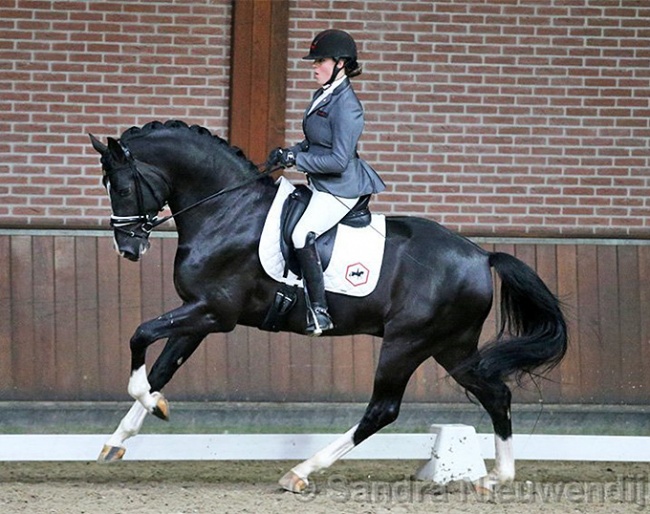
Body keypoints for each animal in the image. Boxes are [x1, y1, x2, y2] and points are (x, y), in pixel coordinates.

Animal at [88, 118, 564, 490]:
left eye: (124, 186)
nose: (128, 249)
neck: (227, 209)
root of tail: (481, 255)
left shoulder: (214, 313)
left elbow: (140, 336)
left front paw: (153, 406)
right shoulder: (199, 312)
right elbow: (162, 368)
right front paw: (121, 437)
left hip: (407, 343)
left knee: (382, 410)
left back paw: (301, 472)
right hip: (451, 346)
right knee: (496, 393)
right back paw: (496, 477)